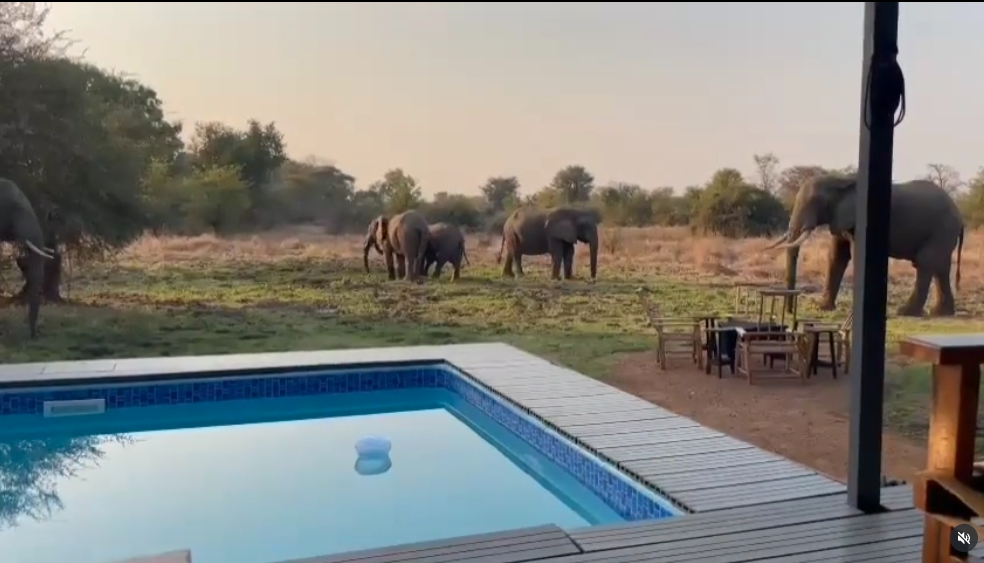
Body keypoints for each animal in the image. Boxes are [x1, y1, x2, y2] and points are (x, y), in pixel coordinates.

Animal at [765, 175, 964, 317]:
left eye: (816, 202)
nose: (790, 312)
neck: (838, 181)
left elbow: (854, 255)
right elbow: (836, 256)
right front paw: (823, 308)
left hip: (942, 228)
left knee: (925, 262)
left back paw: (907, 312)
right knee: (940, 268)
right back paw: (941, 313)